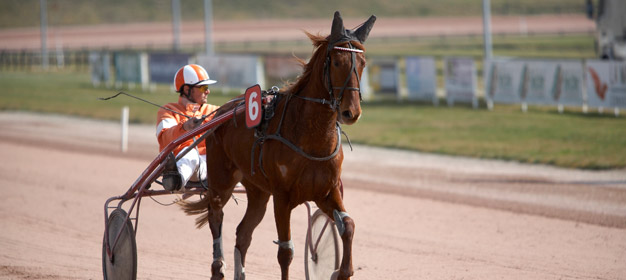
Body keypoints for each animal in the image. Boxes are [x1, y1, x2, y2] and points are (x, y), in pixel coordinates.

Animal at [183, 11, 372, 280]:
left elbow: (347, 225)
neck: (311, 137)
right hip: (222, 180)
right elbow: (286, 251)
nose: (351, 112)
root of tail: (222, 111)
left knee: (243, 233)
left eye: (362, 63)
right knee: (216, 215)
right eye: (336, 62)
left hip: (258, 191)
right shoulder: (282, 197)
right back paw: (218, 267)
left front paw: (341, 271)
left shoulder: (327, 191)